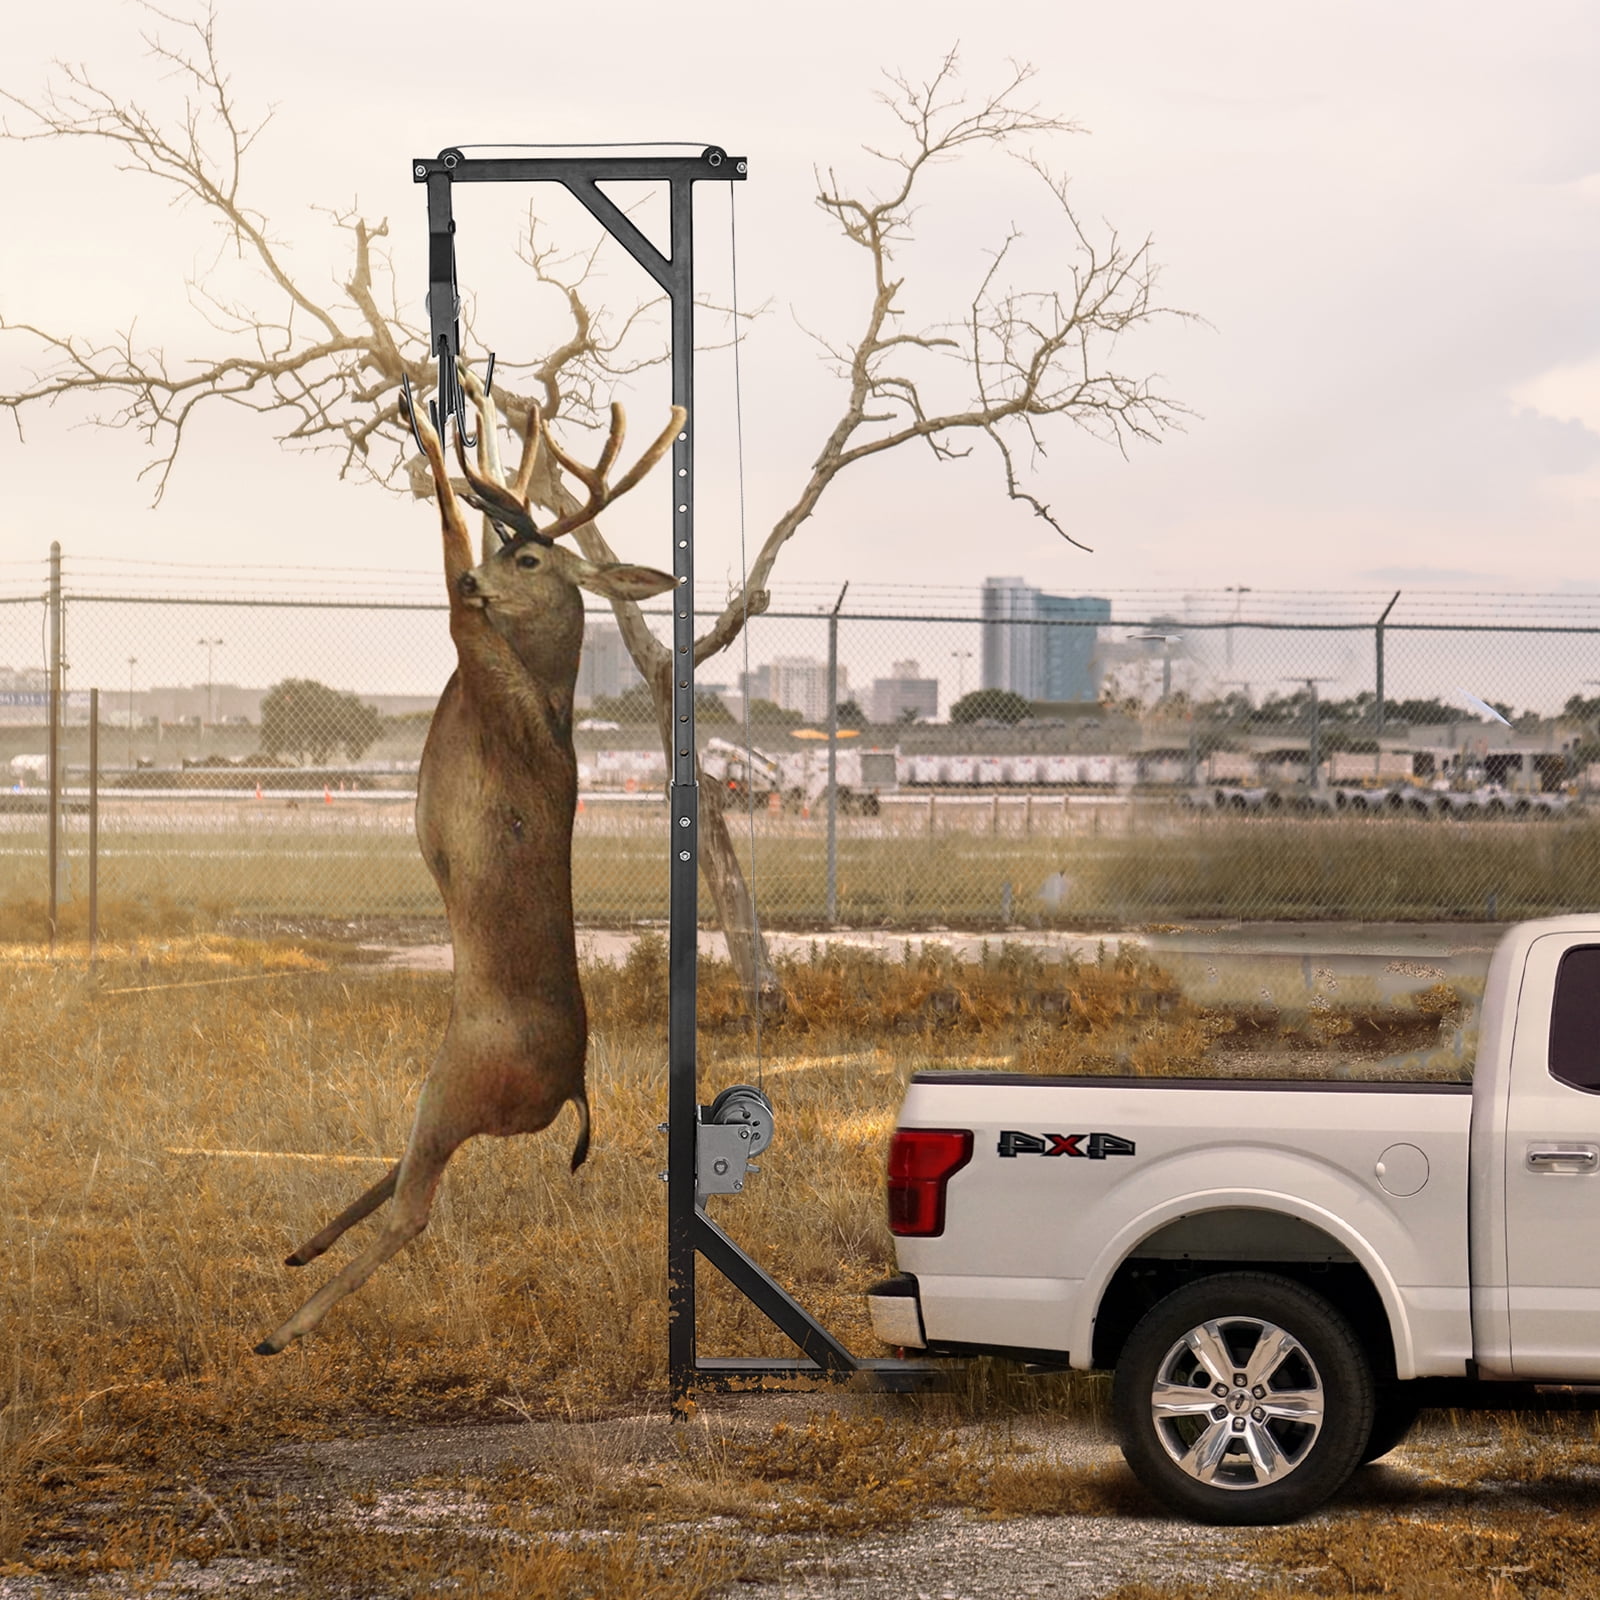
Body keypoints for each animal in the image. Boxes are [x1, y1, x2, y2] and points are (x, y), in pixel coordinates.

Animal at [254, 372, 683, 1355]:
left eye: (531, 561)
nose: (482, 581)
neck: (539, 689)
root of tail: (572, 1090)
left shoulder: (469, 641)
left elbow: (449, 532)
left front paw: (427, 425)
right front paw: (475, 415)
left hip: (459, 1081)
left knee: (416, 1206)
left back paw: (282, 1328)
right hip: (444, 1090)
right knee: (400, 1166)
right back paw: (300, 1251)